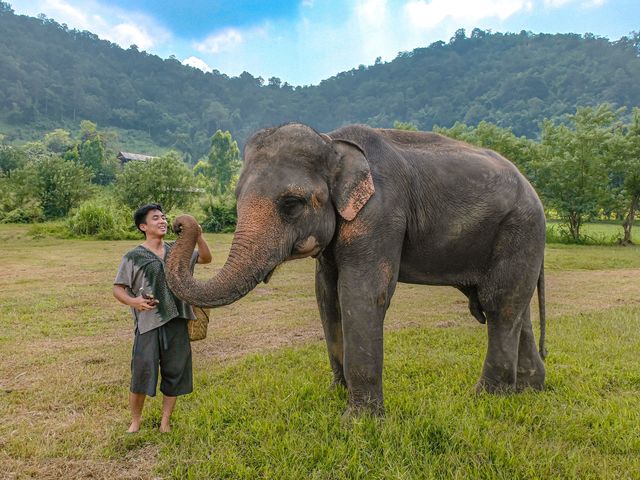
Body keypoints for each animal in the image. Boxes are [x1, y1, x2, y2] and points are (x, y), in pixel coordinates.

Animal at [165, 123, 544, 416]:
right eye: (237, 198)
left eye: (292, 204)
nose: (180, 223)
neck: (331, 141)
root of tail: (531, 186)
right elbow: (327, 296)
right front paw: (336, 395)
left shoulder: (380, 213)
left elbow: (361, 293)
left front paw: (359, 421)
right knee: (515, 310)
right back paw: (529, 391)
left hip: (520, 228)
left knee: (500, 304)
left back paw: (485, 399)